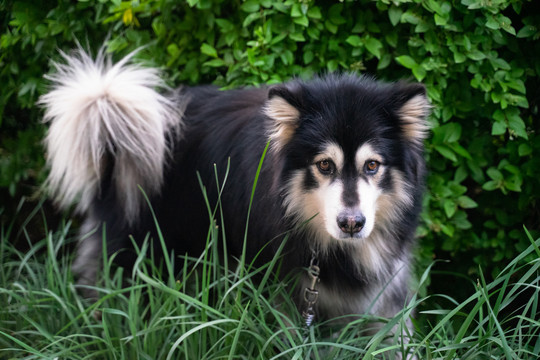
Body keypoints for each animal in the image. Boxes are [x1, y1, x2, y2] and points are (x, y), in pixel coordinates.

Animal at [40, 48, 430, 330]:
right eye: (324, 165)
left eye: (372, 165)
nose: (352, 223)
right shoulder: (284, 292)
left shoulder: (386, 291)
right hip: (139, 248)